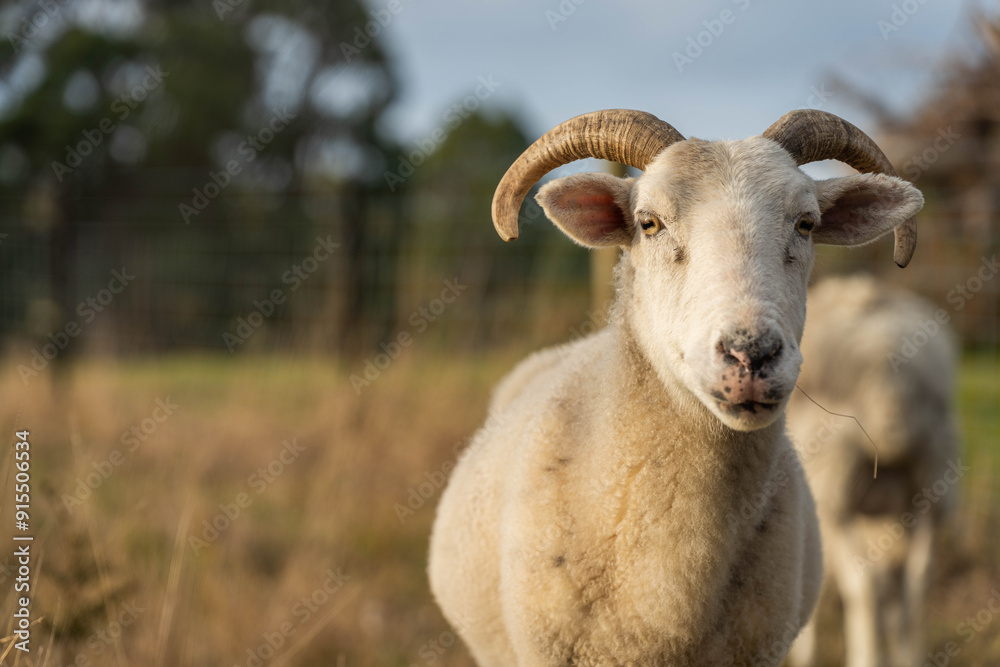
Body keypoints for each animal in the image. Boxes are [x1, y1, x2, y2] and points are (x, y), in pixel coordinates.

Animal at [787, 274, 959, 667]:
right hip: (932, 476)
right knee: (915, 581)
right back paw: (909, 657)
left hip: (835, 482)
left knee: (863, 584)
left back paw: (864, 657)